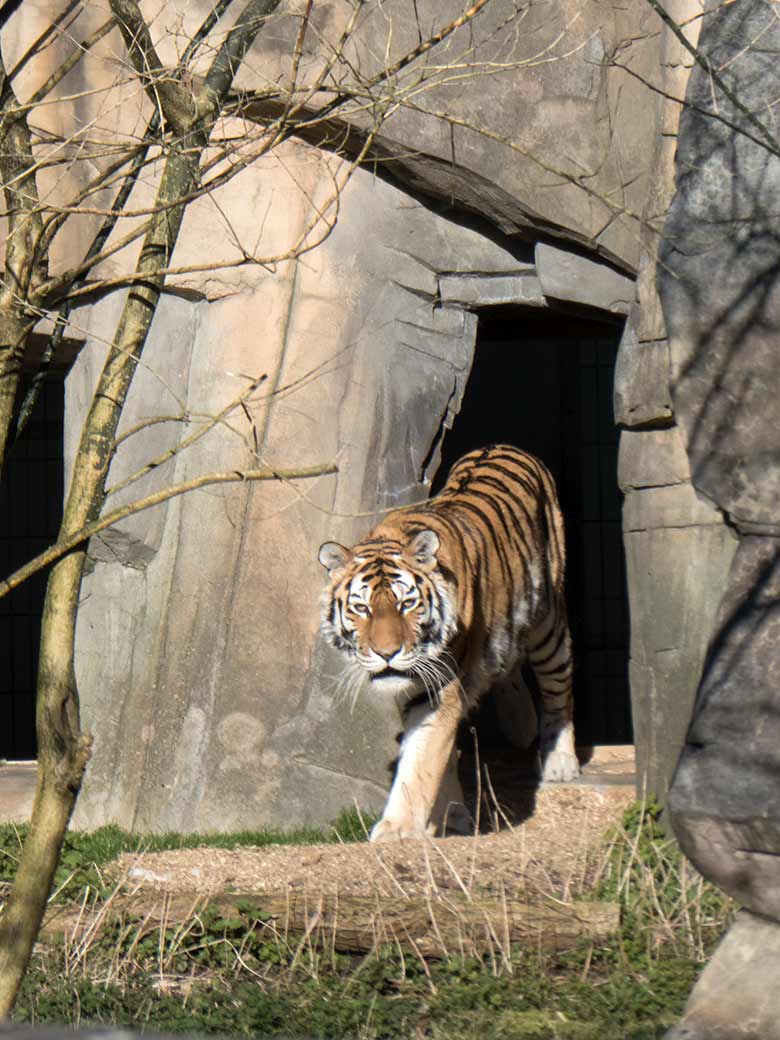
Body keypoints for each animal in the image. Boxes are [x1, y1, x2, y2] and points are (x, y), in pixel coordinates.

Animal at [318, 443, 582, 840]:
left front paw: (397, 829)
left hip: (548, 620)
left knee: (558, 687)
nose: (386, 653)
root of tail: (504, 445)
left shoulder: (438, 690)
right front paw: (448, 816)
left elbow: (420, 763)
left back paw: (560, 761)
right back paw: (520, 724)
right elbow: (438, 760)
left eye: (406, 604)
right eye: (361, 608)